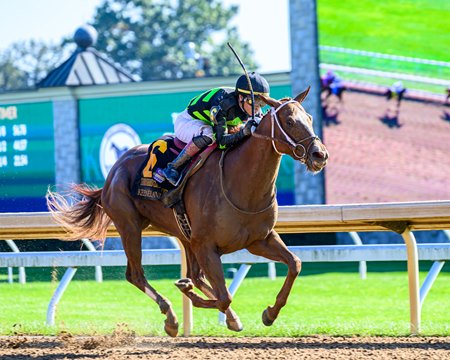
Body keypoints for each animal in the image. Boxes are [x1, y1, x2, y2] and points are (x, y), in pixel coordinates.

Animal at [46, 88, 326, 336]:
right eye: (289, 121)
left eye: (310, 118)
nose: (319, 155)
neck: (240, 183)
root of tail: (115, 168)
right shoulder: (207, 245)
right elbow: (223, 296)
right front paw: (187, 293)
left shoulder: (259, 239)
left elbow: (295, 264)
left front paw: (270, 313)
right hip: (130, 226)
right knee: (136, 275)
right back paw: (171, 317)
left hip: (183, 234)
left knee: (195, 275)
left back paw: (220, 312)